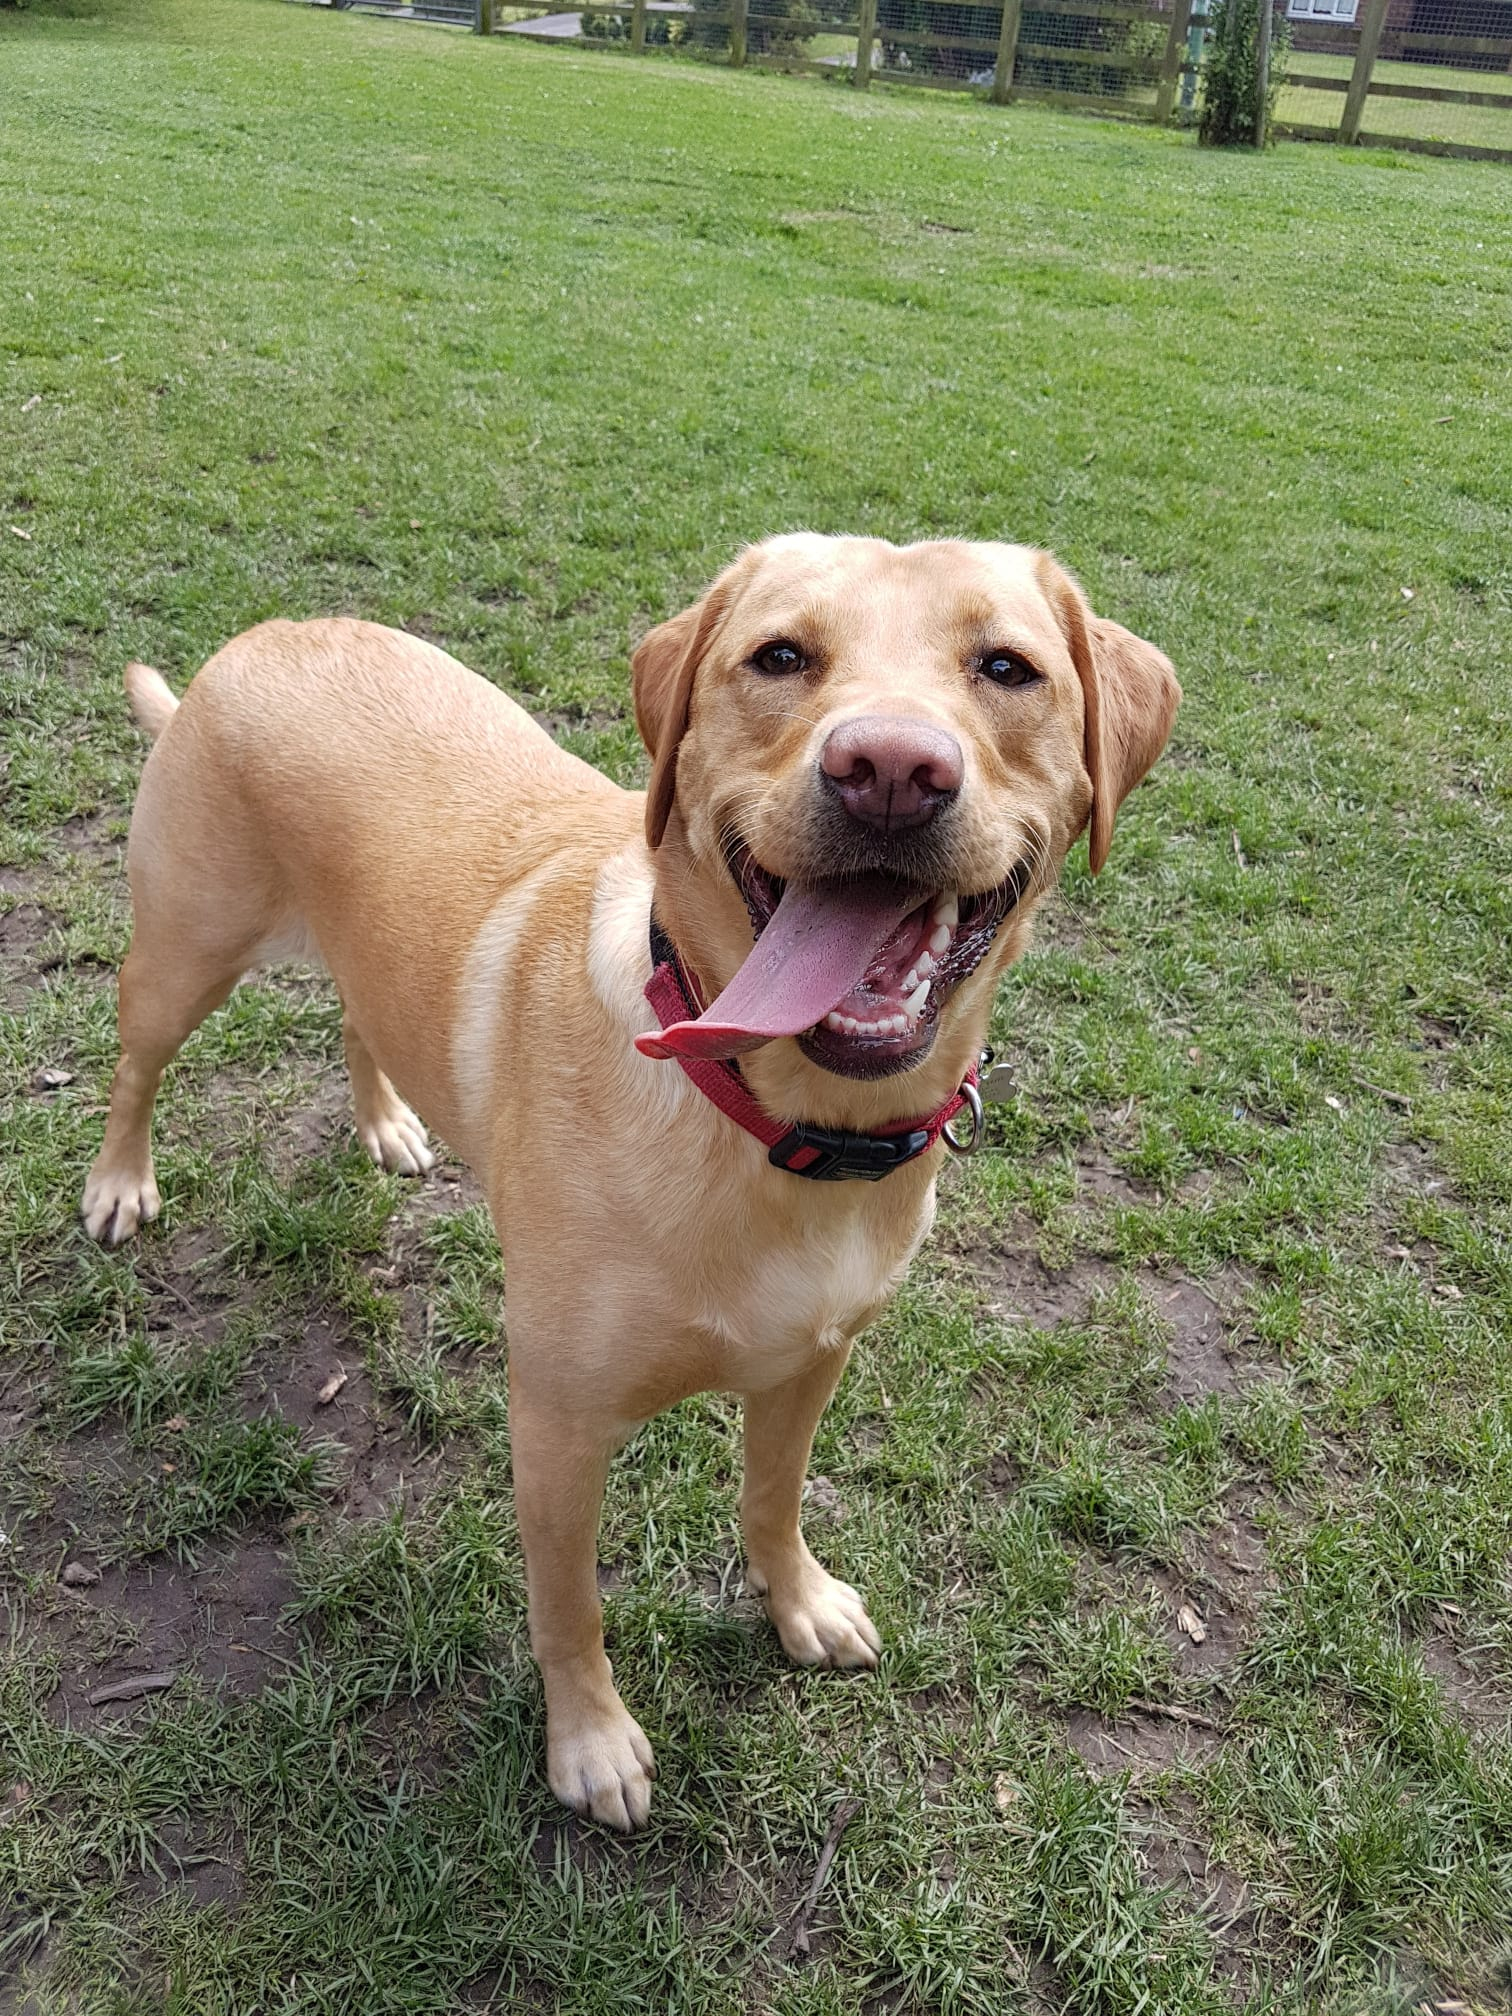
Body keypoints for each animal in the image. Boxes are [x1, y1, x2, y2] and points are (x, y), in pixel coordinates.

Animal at [82, 532, 1185, 1830]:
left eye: (1008, 668)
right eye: (779, 656)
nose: (890, 771)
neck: (774, 1121)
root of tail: (265, 637)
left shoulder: (814, 1361)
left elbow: (773, 1498)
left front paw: (798, 1604)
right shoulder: (557, 1425)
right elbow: (571, 1607)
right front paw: (591, 1744)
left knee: (358, 1018)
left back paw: (388, 1125)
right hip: (183, 955)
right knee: (136, 1066)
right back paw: (119, 1182)